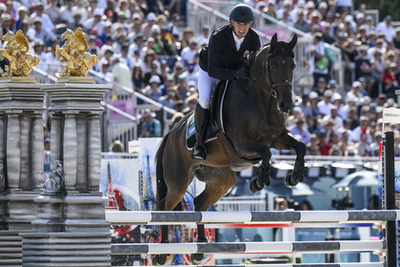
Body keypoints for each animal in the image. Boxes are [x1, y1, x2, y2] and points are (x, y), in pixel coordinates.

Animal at [155, 33, 304, 266]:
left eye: (292, 64)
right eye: (272, 65)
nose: (286, 104)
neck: (262, 98)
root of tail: (171, 133)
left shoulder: (278, 139)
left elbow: (299, 146)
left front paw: (293, 177)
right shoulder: (243, 144)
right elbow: (266, 153)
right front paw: (258, 182)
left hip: (221, 181)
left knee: (199, 204)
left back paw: (199, 251)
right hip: (178, 182)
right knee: (163, 208)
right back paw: (162, 254)